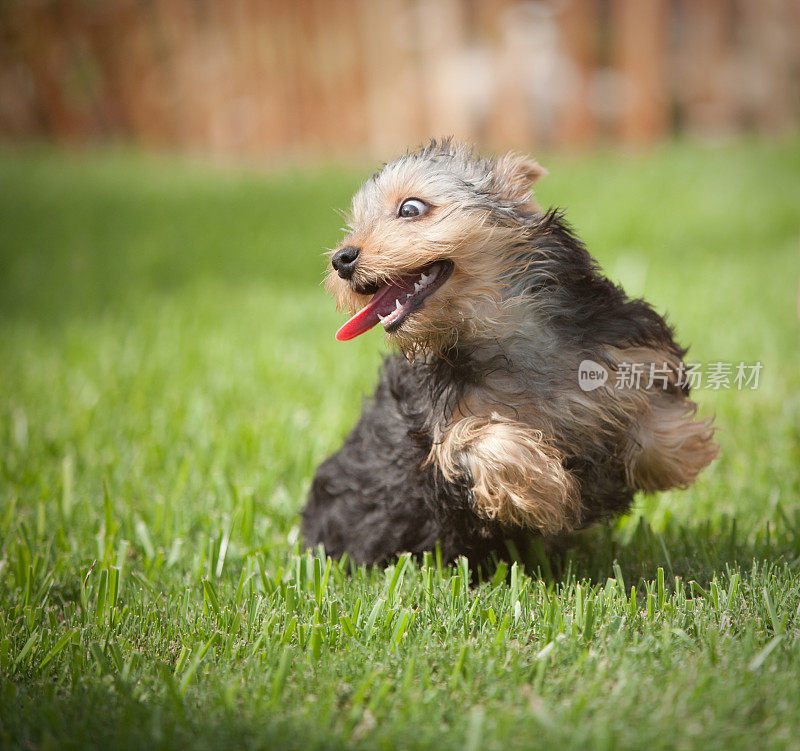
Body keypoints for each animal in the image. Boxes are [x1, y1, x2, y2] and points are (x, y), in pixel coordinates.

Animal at [302, 140, 720, 564]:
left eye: (410, 209)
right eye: (353, 226)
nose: (341, 259)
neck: (499, 330)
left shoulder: (624, 346)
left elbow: (649, 403)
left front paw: (678, 454)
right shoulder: (442, 426)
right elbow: (484, 442)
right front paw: (548, 491)